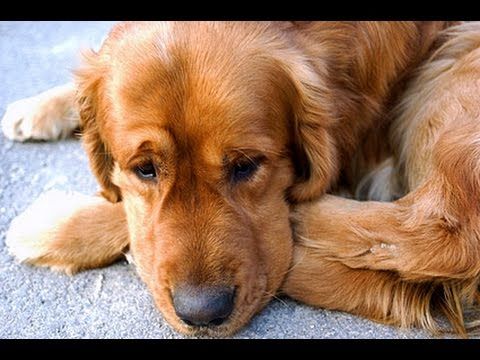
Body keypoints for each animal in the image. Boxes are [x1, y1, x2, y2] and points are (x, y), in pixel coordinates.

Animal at [3, 21, 480, 338]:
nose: (202, 314)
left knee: (441, 233)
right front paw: (39, 106)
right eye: (145, 168)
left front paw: (57, 225)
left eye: (247, 164)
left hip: (455, 62)